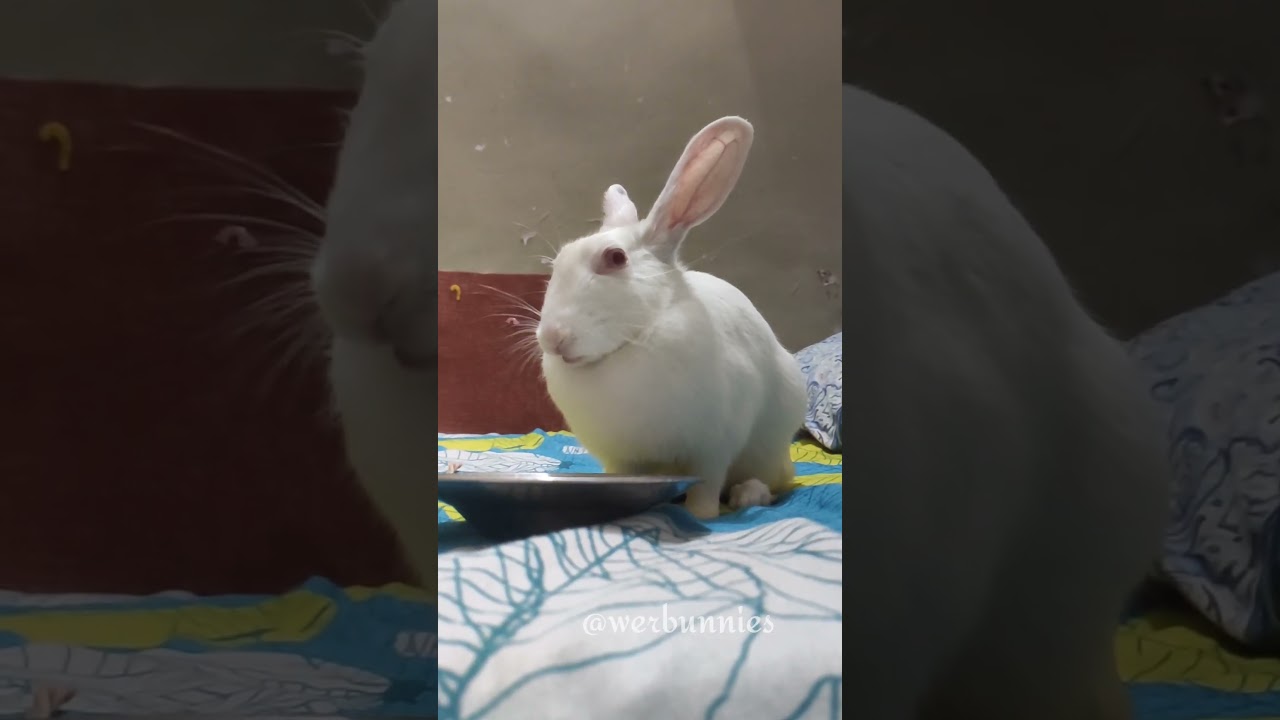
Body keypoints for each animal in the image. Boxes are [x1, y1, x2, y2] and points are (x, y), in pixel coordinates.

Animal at [535, 116, 809, 520]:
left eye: (615, 258)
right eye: (558, 262)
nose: (552, 338)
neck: (634, 341)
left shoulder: (714, 446)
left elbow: (707, 484)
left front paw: (701, 514)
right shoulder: (622, 460)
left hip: (768, 446)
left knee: (775, 480)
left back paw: (748, 495)